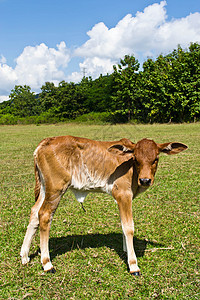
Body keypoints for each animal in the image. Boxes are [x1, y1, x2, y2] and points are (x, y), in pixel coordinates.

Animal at [20, 137, 188, 276]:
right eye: (136, 159)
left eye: (156, 159)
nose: (145, 180)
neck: (131, 170)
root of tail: (45, 142)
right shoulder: (123, 195)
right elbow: (128, 227)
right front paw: (133, 264)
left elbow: (122, 225)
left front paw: (126, 250)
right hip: (56, 189)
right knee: (44, 215)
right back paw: (47, 263)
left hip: (45, 188)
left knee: (34, 213)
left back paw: (25, 255)